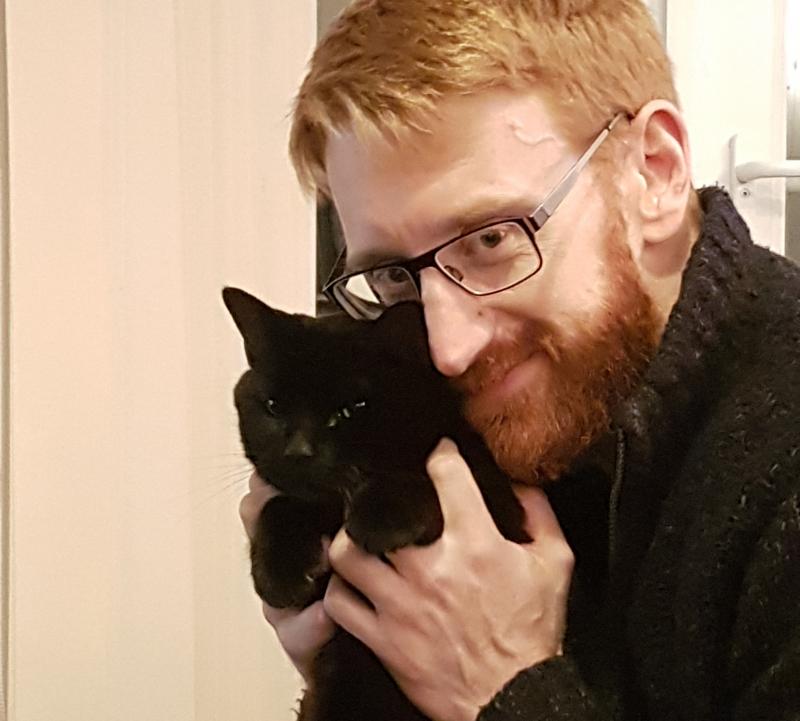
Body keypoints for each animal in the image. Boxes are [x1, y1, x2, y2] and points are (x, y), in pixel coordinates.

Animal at [222, 287, 530, 721]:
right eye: (273, 406)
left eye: (353, 409)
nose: (299, 451)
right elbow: (279, 505)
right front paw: (279, 574)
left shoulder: (500, 505)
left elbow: (416, 476)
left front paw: (381, 515)